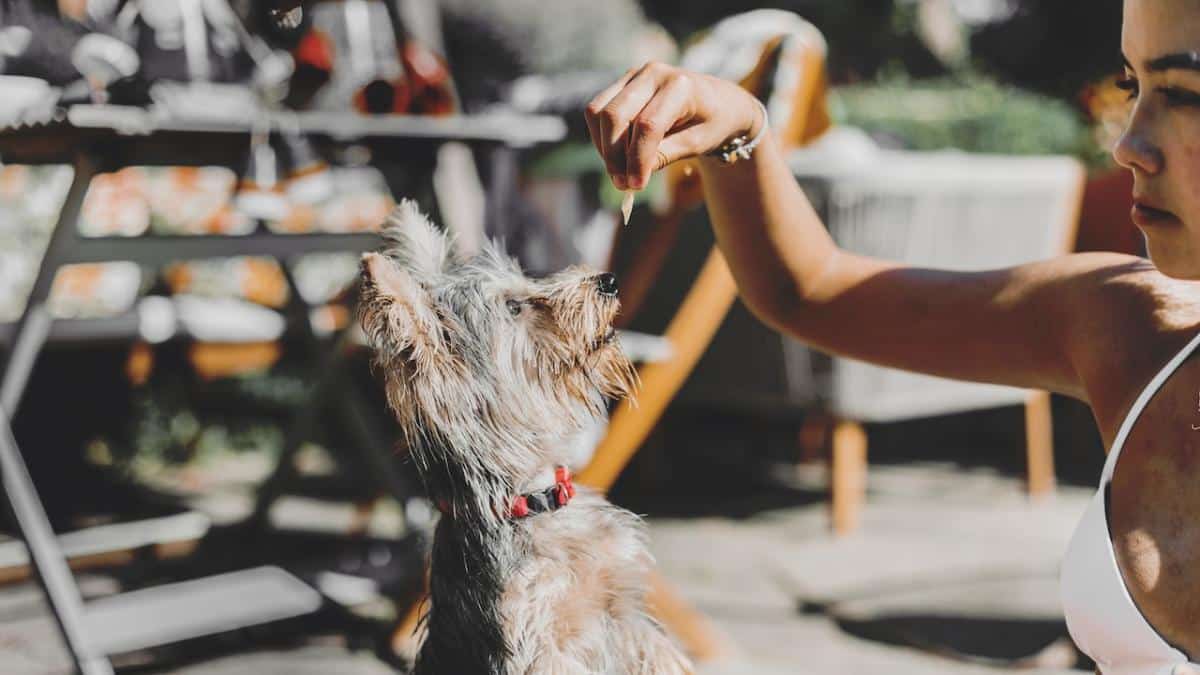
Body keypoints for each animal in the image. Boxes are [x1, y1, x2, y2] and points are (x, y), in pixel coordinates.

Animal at [360, 200, 691, 672]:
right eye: (515, 307)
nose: (608, 280)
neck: (534, 501)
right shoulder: (540, 646)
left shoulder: (626, 614)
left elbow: (666, 656)